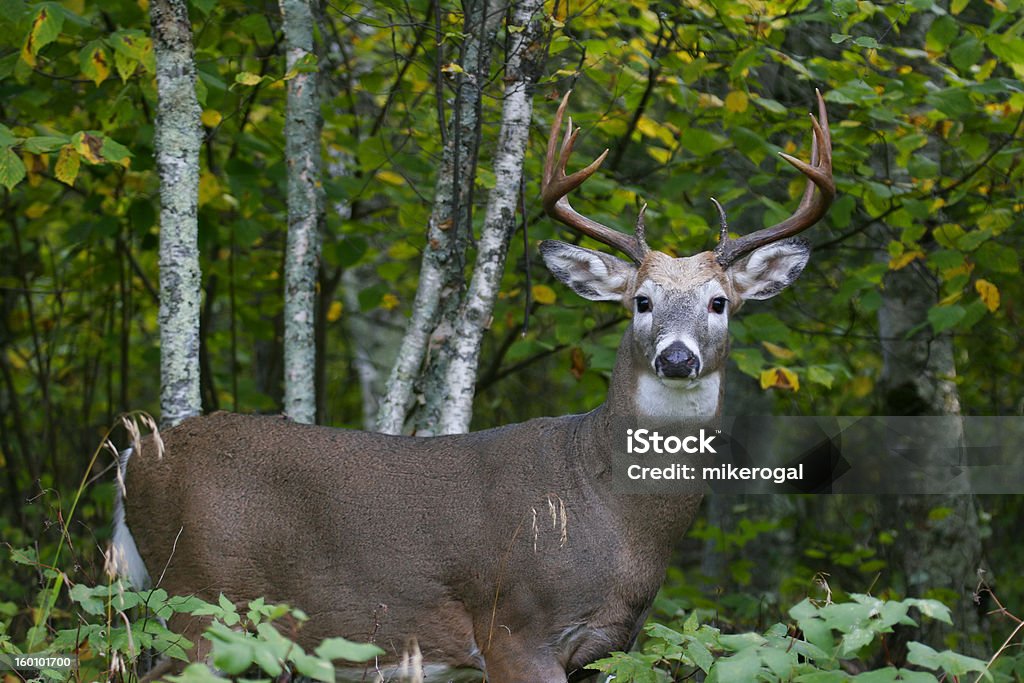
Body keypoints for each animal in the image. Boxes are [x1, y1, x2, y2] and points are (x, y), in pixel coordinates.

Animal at [112, 90, 831, 683]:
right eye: (641, 301)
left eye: (719, 302)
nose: (677, 358)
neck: (612, 509)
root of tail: (131, 460)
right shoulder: (513, 627)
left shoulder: (604, 649)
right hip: (203, 596)